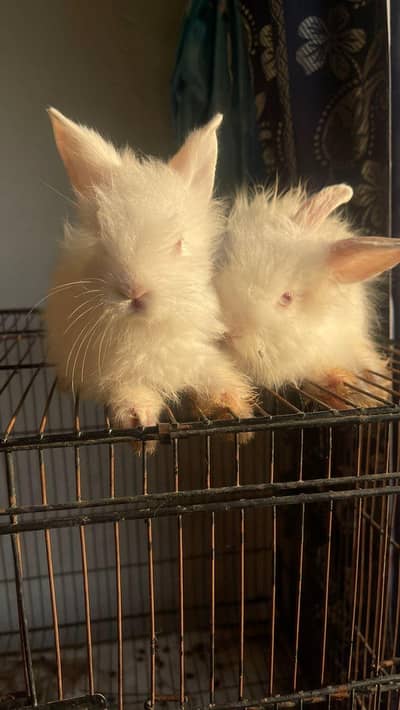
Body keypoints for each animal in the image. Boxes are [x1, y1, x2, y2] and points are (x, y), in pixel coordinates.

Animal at [45, 109, 254, 451]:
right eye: (102, 236)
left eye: (179, 243)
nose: (134, 290)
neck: (148, 331)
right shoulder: (113, 373)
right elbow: (129, 392)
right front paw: (139, 424)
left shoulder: (196, 354)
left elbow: (216, 376)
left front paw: (234, 413)